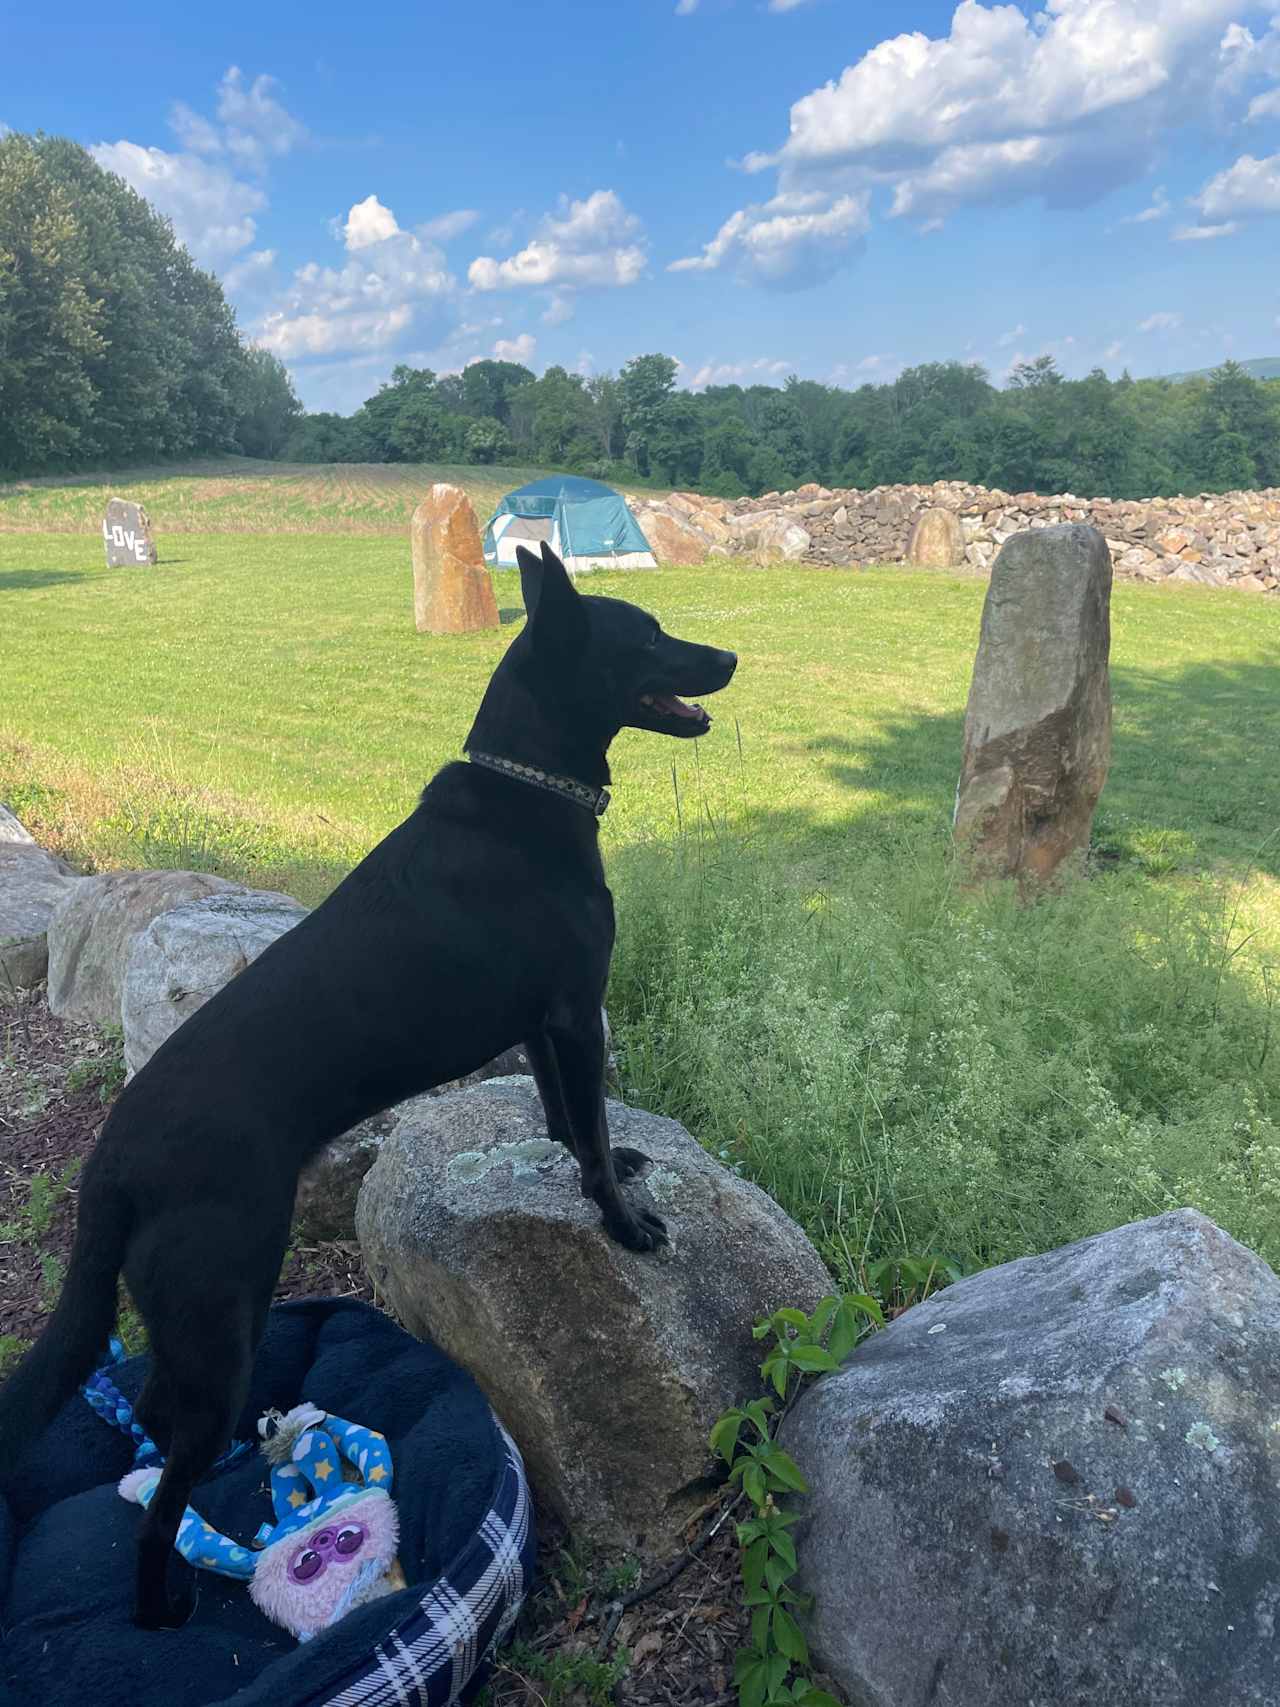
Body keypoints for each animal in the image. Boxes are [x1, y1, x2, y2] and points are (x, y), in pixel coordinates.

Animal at [0, 542, 737, 1625]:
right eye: (643, 637)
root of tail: (112, 1162)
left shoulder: (542, 1027)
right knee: (161, 1492)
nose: (728, 657)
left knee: (153, 1413)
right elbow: (591, 1132)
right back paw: (161, 1604)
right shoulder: (572, 1012)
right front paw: (624, 1219)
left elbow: (569, 1116)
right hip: (224, 1303)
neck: (528, 794)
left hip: (201, 1316)